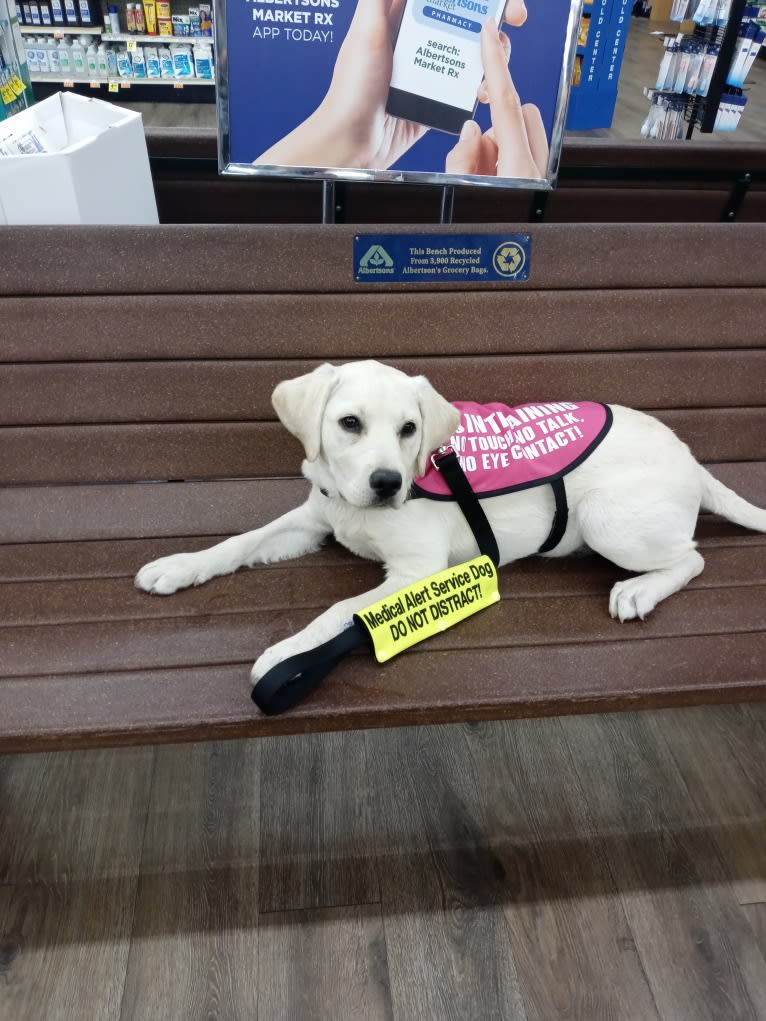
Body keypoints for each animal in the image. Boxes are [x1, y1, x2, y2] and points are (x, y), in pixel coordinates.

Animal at [136, 361, 766, 694]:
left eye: (410, 429)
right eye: (349, 424)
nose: (388, 482)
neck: (357, 509)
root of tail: (691, 459)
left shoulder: (415, 569)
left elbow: (336, 612)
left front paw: (287, 653)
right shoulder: (315, 517)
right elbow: (241, 541)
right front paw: (180, 565)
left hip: (606, 518)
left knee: (692, 557)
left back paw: (640, 590)